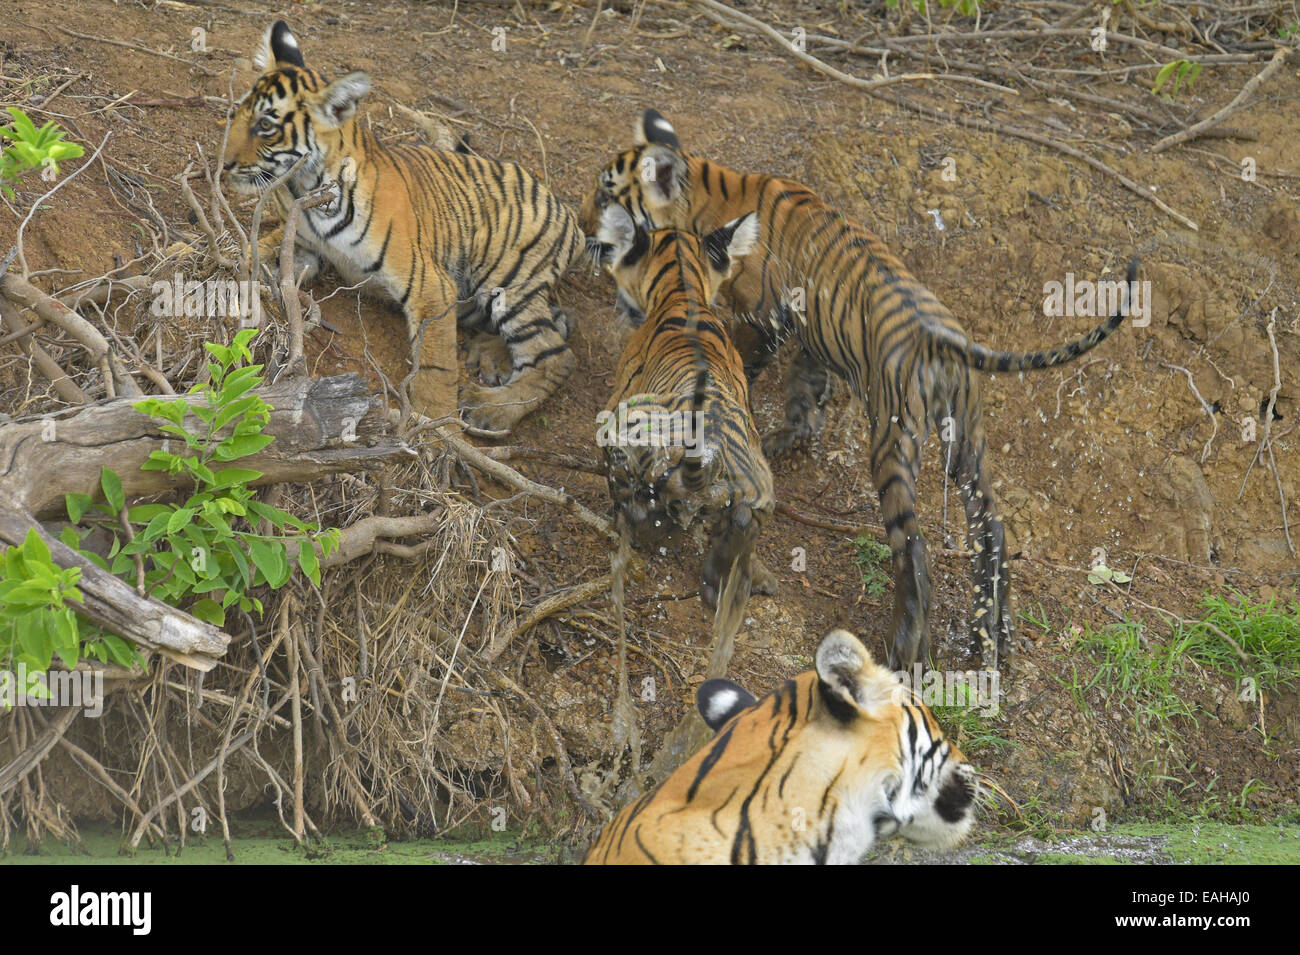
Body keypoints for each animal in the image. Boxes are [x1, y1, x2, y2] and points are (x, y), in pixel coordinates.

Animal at [226, 21, 582, 433]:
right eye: (238, 114)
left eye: (265, 125)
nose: (224, 164)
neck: (308, 184)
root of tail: (567, 211)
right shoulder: (302, 244)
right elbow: (260, 250)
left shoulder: (432, 286)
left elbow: (435, 366)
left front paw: (434, 426)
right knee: (558, 320)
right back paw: (487, 355)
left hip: (505, 278)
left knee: (556, 355)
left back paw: (491, 408)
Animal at [595, 203, 774, 608]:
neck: (681, 286)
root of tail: (711, 461)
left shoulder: (615, 406)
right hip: (758, 491)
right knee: (742, 533)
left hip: (636, 429)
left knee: (637, 501)